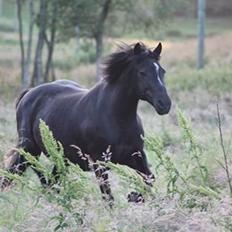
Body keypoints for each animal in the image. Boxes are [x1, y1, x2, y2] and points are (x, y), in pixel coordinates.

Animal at [0, 41, 171, 201]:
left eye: (162, 71)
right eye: (142, 72)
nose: (165, 104)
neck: (118, 120)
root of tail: (29, 93)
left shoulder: (136, 156)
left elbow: (150, 179)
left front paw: (134, 196)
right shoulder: (99, 163)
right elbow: (108, 197)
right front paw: (132, 197)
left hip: (61, 158)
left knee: (51, 182)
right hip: (30, 149)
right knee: (24, 173)